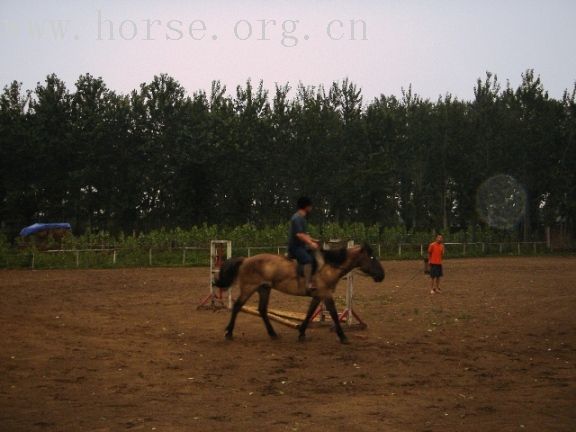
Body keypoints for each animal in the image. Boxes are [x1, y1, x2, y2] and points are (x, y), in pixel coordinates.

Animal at [214, 245, 384, 342]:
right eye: (371, 257)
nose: (381, 275)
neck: (329, 267)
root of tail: (245, 259)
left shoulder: (318, 295)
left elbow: (309, 313)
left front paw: (301, 332)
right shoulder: (326, 294)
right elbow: (334, 314)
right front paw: (343, 336)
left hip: (264, 289)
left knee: (262, 310)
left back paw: (273, 334)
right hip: (249, 288)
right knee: (237, 306)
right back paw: (229, 333)